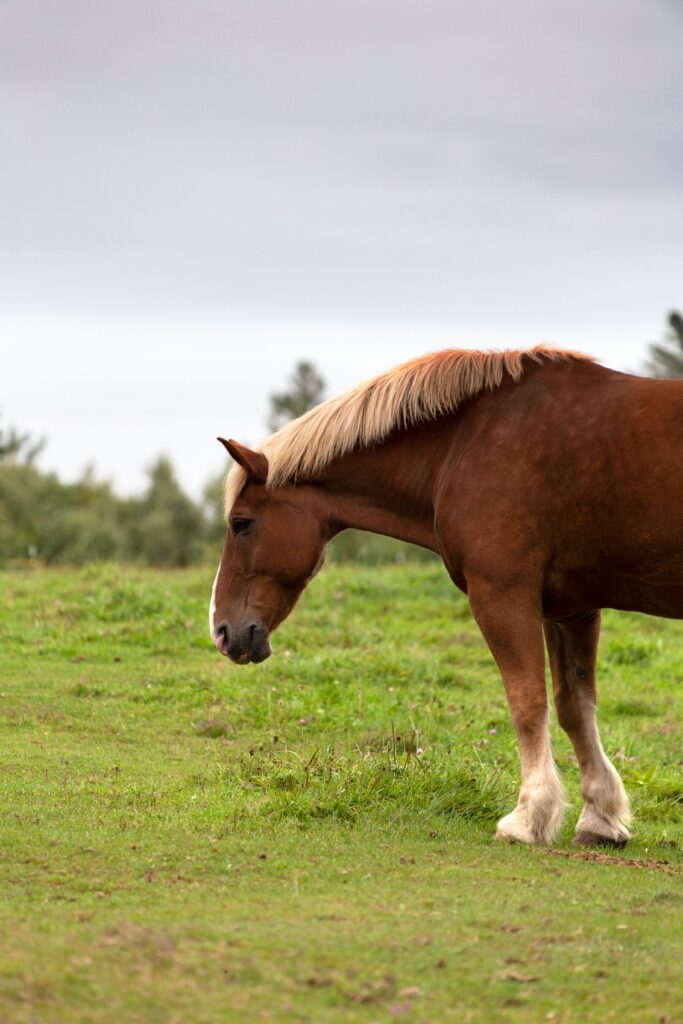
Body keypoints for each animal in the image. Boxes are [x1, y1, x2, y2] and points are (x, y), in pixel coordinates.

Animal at [210, 346, 683, 847]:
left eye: (241, 523)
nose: (221, 631)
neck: (465, 443)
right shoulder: (571, 608)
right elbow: (575, 705)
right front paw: (599, 817)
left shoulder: (502, 594)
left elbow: (528, 702)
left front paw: (528, 817)